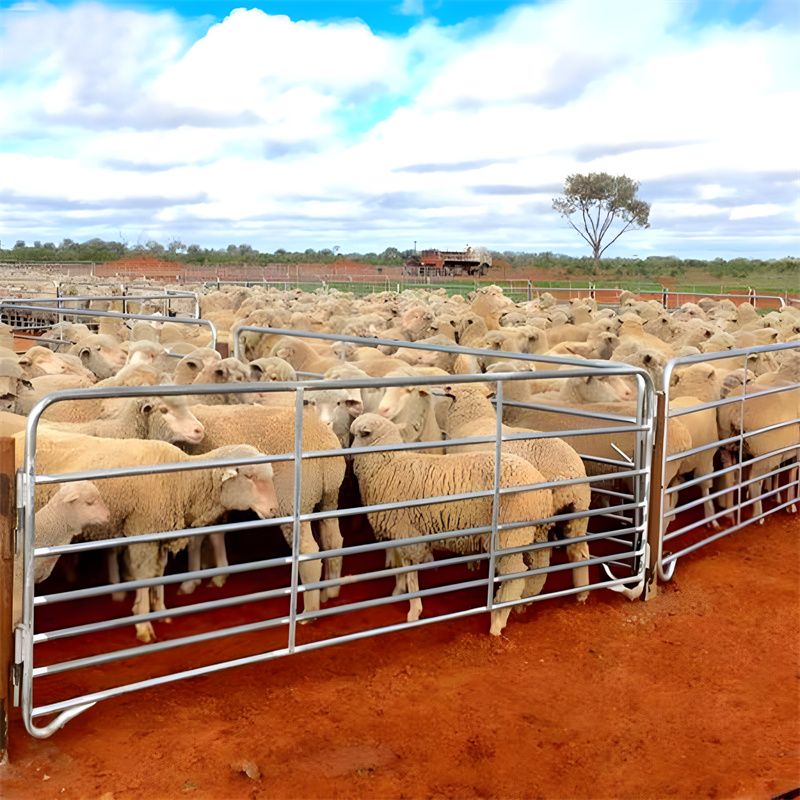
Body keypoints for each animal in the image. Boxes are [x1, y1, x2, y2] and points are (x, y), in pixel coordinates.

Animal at [10, 432, 282, 644]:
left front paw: (160, 611)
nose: (273, 510)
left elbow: (158, 573)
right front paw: (143, 625)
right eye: (249, 477)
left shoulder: (158, 531)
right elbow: (143, 575)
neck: (183, 479)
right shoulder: (143, 530)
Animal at [184, 406, 346, 612]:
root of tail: (324, 445)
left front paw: (190, 582)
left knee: (308, 551)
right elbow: (213, 534)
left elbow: (195, 538)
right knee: (333, 540)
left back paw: (309, 611)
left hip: (290, 502)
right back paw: (330, 591)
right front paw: (217, 575)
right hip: (329, 497)